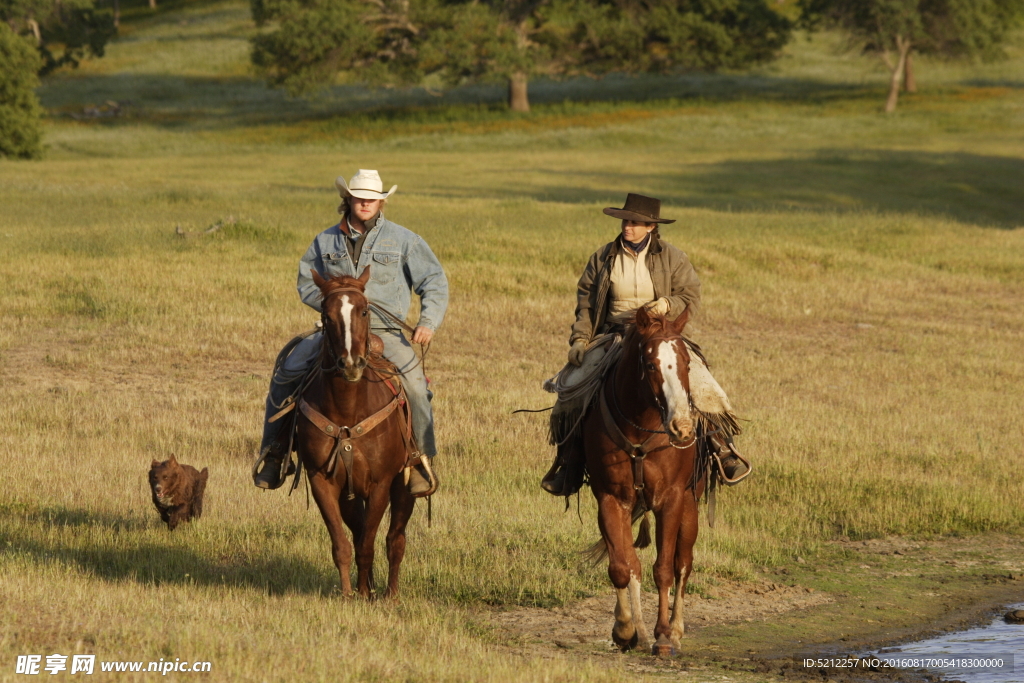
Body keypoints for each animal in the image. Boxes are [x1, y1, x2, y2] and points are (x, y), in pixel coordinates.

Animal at [299, 270, 417, 602]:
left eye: (364, 310)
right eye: (326, 315)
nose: (351, 364)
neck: (348, 411)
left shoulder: (381, 484)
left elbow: (368, 544)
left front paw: (366, 595)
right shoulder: (321, 481)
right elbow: (343, 544)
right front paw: (350, 594)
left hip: (404, 487)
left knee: (394, 539)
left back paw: (390, 594)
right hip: (349, 497)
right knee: (360, 530)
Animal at [585, 305, 704, 655]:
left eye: (687, 363)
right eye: (650, 364)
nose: (682, 428)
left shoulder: (672, 499)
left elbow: (664, 569)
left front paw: (663, 634)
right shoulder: (610, 499)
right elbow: (621, 567)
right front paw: (625, 629)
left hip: (691, 506)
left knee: (683, 563)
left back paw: (675, 629)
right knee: (633, 565)